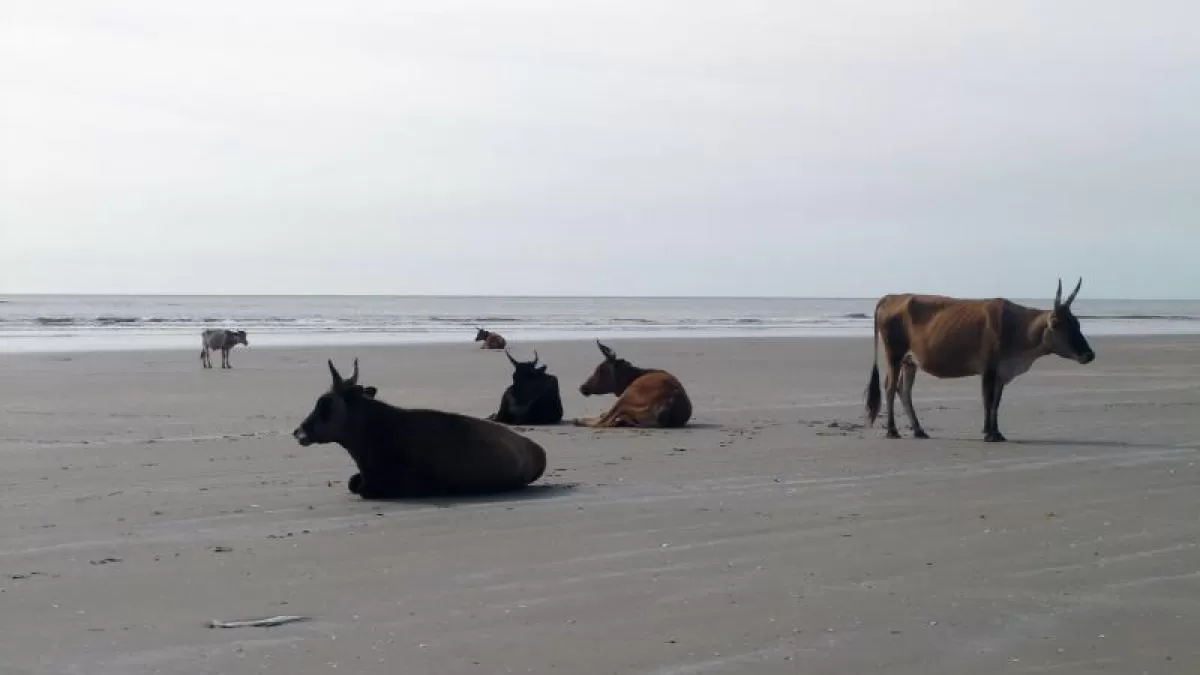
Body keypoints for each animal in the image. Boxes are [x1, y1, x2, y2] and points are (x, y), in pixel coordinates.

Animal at [864, 278, 1096, 443]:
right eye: (1056, 323)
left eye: (1077, 323)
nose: (1089, 354)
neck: (1016, 327)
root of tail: (891, 297)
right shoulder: (988, 368)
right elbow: (987, 399)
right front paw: (988, 433)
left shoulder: (1002, 371)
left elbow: (997, 402)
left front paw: (997, 432)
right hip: (894, 354)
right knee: (890, 387)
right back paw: (893, 430)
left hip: (910, 361)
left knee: (904, 390)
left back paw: (919, 430)